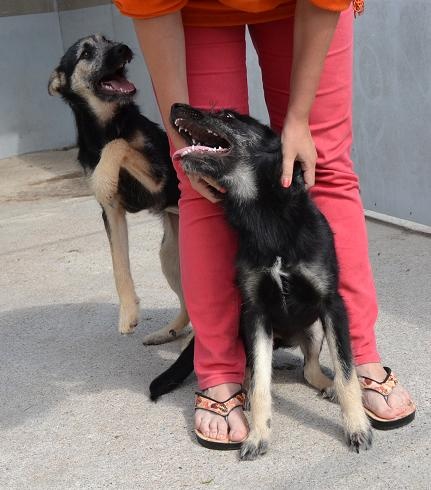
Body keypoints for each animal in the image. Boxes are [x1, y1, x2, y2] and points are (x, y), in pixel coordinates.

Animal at [48, 35, 190, 344]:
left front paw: (103, 177)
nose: (123, 48)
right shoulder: (112, 212)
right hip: (170, 256)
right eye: (85, 53)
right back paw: (168, 331)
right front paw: (128, 313)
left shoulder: (159, 178)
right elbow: (118, 265)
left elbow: (118, 144)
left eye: (108, 40)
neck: (106, 124)